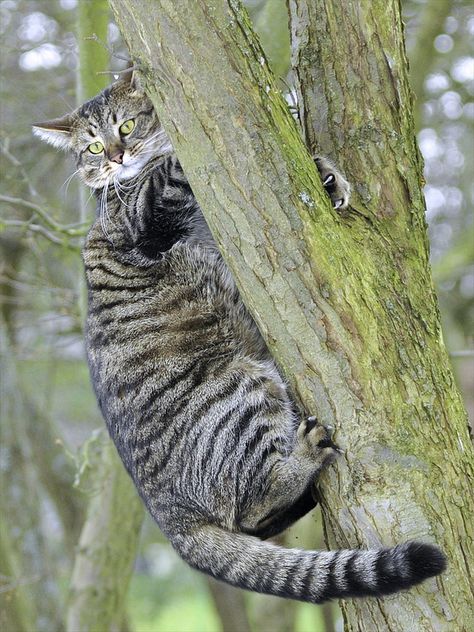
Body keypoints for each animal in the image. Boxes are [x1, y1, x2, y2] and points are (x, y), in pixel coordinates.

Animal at [33, 71, 444, 604]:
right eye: (94, 147)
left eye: (126, 125)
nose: (118, 157)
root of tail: (171, 522)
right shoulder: (142, 215)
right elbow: (171, 168)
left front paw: (328, 174)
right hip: (242, 388)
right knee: (251, 505)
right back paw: (300, 461)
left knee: (255, 523)